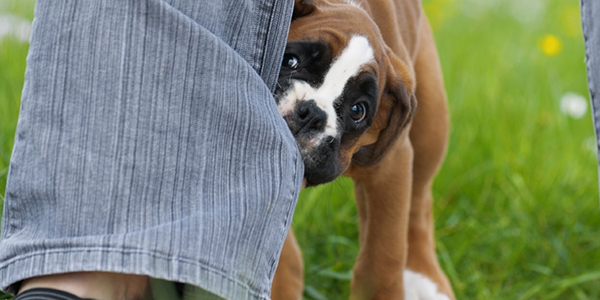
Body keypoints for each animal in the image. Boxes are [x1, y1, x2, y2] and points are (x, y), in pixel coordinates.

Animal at [272, 0, 454, 300]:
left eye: (358, 110)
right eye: (289, 61)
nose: (311, 114)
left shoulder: (390, 167)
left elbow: (382, 262)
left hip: (431, 124)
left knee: (419, 205)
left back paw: (423, 280)